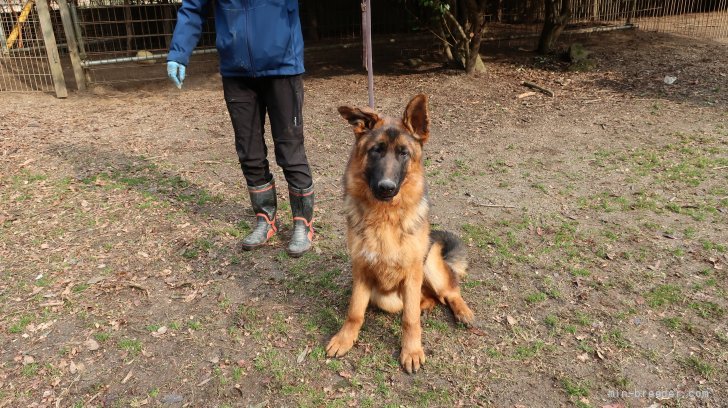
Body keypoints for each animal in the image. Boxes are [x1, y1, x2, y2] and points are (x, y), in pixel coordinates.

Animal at [328, 95, 474, 372]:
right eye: (376, 150)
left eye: (403, 153)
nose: (386, 188)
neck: (385, 216)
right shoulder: (362, 270)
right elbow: (355, 312)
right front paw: (344, 339)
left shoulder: (412, 273)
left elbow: (410, 320)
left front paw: (412, 351)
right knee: (428, 299)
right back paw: (426, 305)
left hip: (429, 265)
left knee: (449, 291)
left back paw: (462, 311)